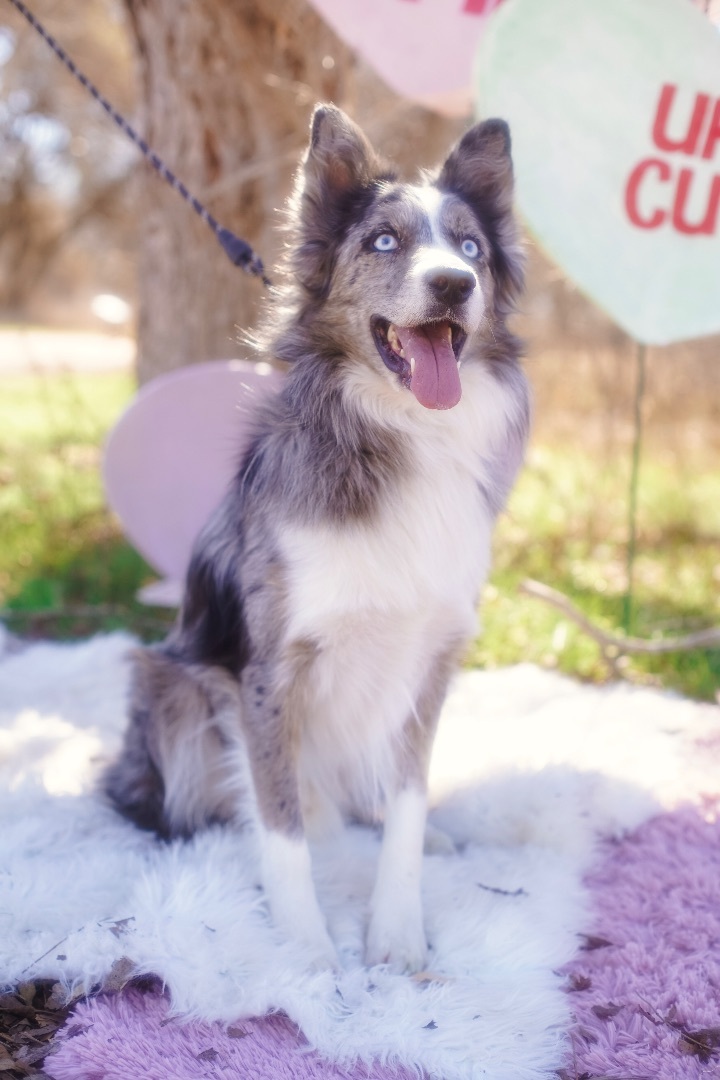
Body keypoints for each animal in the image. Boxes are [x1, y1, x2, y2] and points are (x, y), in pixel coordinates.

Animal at [102, 105, 528, 976]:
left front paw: (396, 934)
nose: (454, 284)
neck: (399, 434)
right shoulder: (269, 670)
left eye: (470, 247)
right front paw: (303, 950)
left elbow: (407, 801)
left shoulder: (431, 655)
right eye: (384, 241)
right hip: (170, 684)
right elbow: (281, 821)